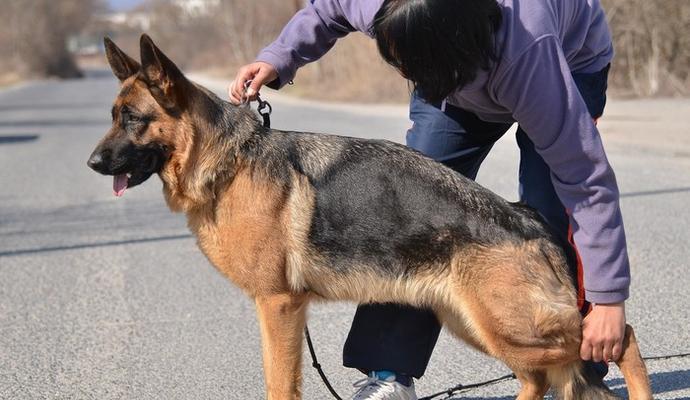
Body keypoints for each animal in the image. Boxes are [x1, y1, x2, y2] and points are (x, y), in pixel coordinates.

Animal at [87, 35, 652, 400]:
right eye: (113, 117)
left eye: (133, 119)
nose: (91, 164)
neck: (230, 160)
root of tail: (529, 221)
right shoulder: (280, 308)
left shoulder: (279, 305)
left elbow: (279, 383)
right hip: (478, 323)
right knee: (539, 376)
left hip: (509, 324)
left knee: (617, 338)